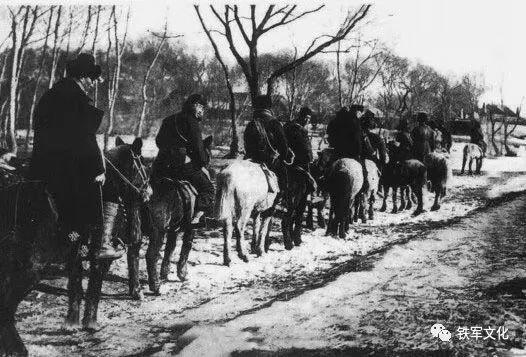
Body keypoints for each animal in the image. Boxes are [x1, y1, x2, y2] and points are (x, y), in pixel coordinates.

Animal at [145, 135, 213, 294]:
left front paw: (165, 273)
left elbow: (170, 249)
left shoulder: (173, 229)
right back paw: (155, 286)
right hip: (157, 231)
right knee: (151, 255)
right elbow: (185, 249)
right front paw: (182, 274)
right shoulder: (190, 229)